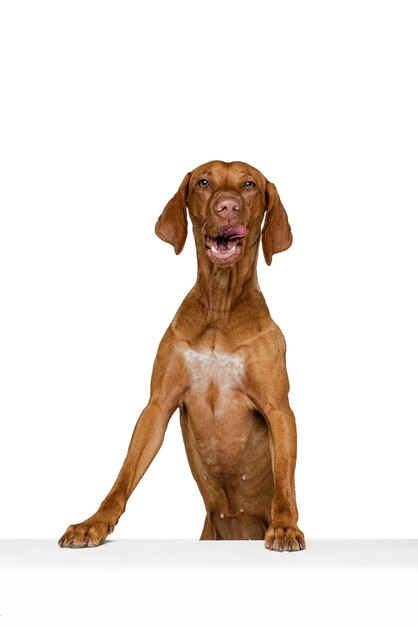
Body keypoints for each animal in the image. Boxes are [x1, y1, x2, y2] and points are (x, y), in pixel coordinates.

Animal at [58, 158, 306, 548]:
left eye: (249, 184)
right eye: (204, 182)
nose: (227, 207)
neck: (220, 308)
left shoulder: (278, 409)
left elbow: (285, 481)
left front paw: (285, 526)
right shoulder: (158, 405)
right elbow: (124, 474)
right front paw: (94, 523)